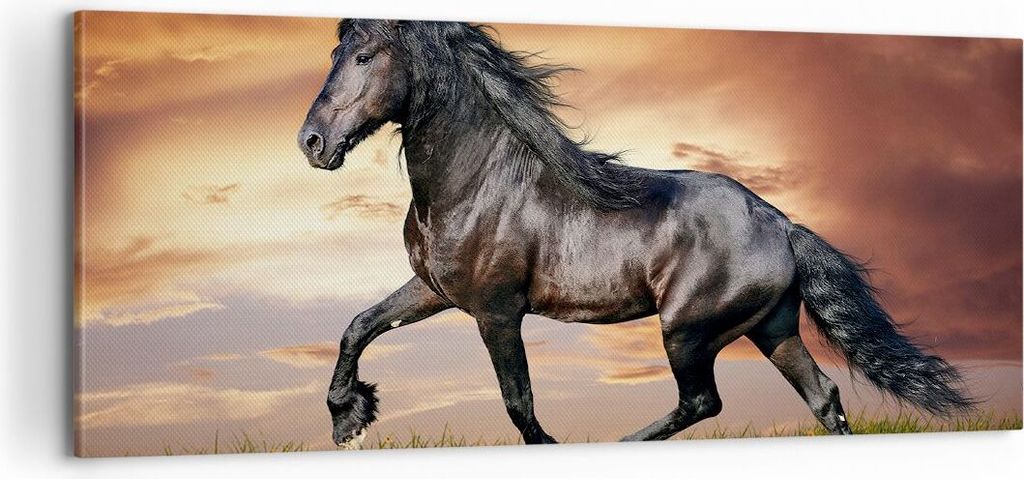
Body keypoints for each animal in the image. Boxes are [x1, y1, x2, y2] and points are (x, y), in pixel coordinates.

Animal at [298, 19, 973, 449]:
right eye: (334, 55)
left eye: (364, 57)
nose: (312, 142)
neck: (478, 181)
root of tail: (781, 224)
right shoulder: (434, 289)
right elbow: (359, 325)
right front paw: (348, 418)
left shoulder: (496, 310)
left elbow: (519, 404)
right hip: (771, 328)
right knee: (823, 396)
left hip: (688, 330)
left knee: (703, 402)